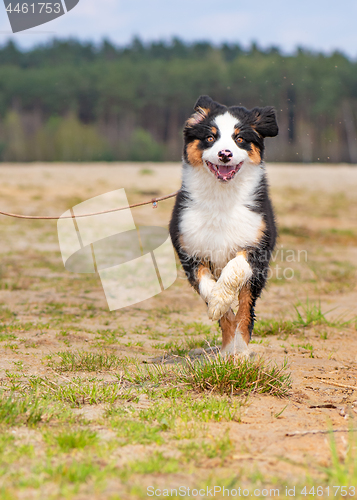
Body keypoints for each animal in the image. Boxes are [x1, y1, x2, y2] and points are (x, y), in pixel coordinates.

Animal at [169, 95, 278, 358]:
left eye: (239, 139)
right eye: (210, 137)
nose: (225, 154)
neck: (221, 199)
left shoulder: (257, 245)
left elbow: (235, 270)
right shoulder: (189, 249)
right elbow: (208, 288)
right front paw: (218, 304)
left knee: (246, 309)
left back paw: (240, 351)